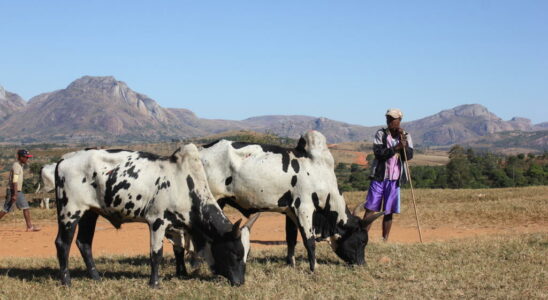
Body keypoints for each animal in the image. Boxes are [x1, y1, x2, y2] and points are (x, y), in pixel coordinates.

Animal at [53, 144, 255, 288]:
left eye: (246, 253)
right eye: (235, 253)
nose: (240, 282)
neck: (184, 184)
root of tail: (64, 159)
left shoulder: (175, 226)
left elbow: (178, 250)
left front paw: (181, 273)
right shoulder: (157, 221)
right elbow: (156, 254)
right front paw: (154, 283)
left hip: (89, 213)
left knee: (84, 243)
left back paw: (96, 277)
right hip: (69, 212)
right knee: (63, 243)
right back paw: (66, 282)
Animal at [199, 130, 384, 270]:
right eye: (362, 241)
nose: (362, 264)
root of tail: (200, 151)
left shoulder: (290, 211)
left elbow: (291, 239)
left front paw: (291, 263)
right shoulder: (304, 208)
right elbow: (309, 241)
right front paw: (314, 267)